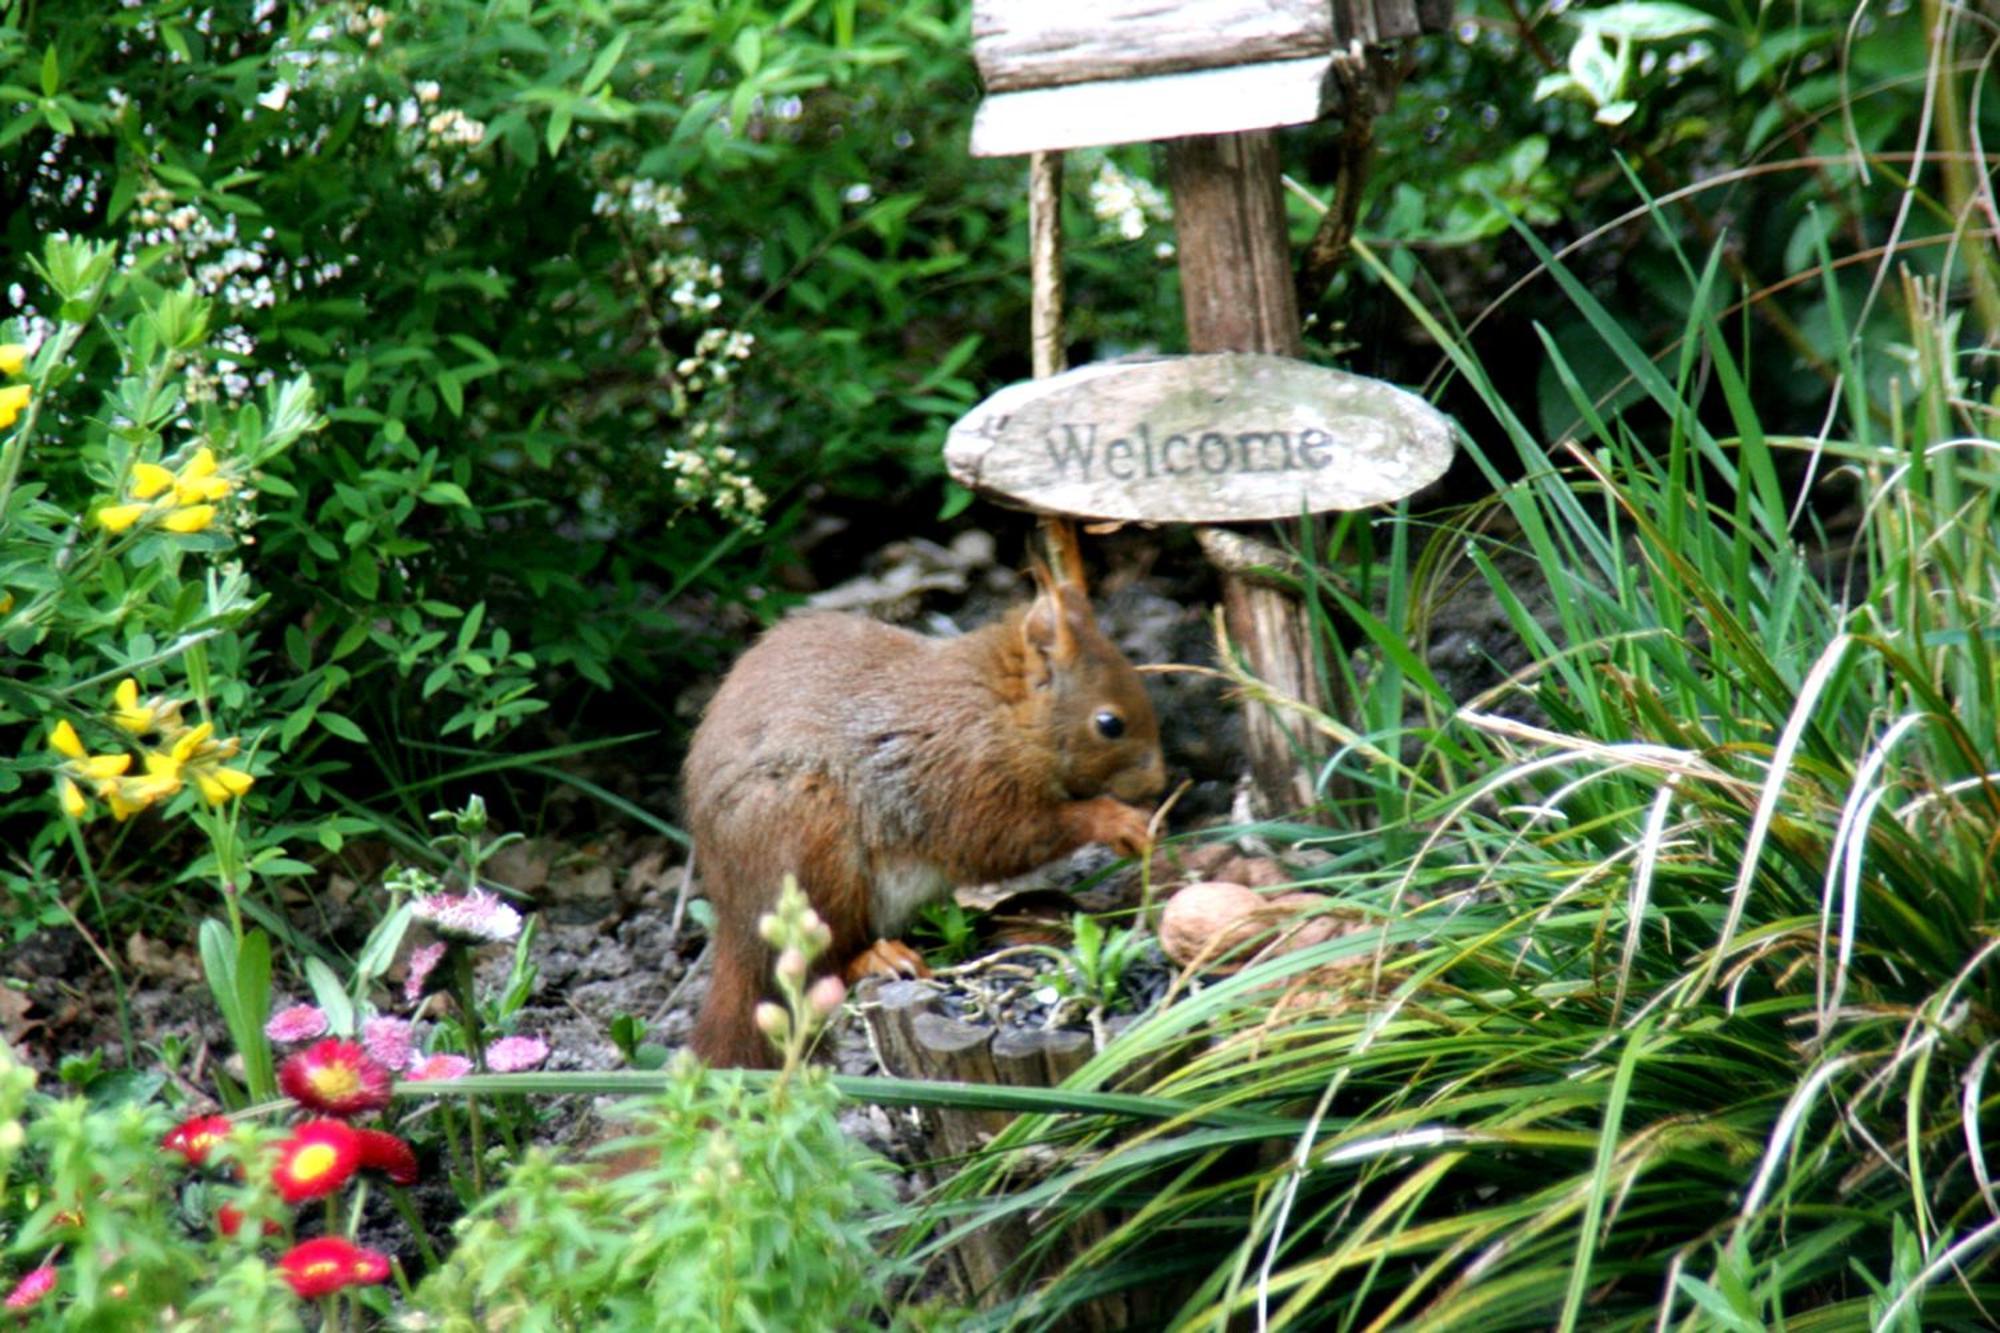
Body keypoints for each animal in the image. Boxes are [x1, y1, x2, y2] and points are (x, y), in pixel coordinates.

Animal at [684, 560, 1168, 1056]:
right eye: (1109, 724)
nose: (1159, 783)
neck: (1001, 711)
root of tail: (734, 921)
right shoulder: (962, 775)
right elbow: (1002, 838)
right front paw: (1117, 821)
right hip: (810, 850)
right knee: (819, 962)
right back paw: (877, 956)